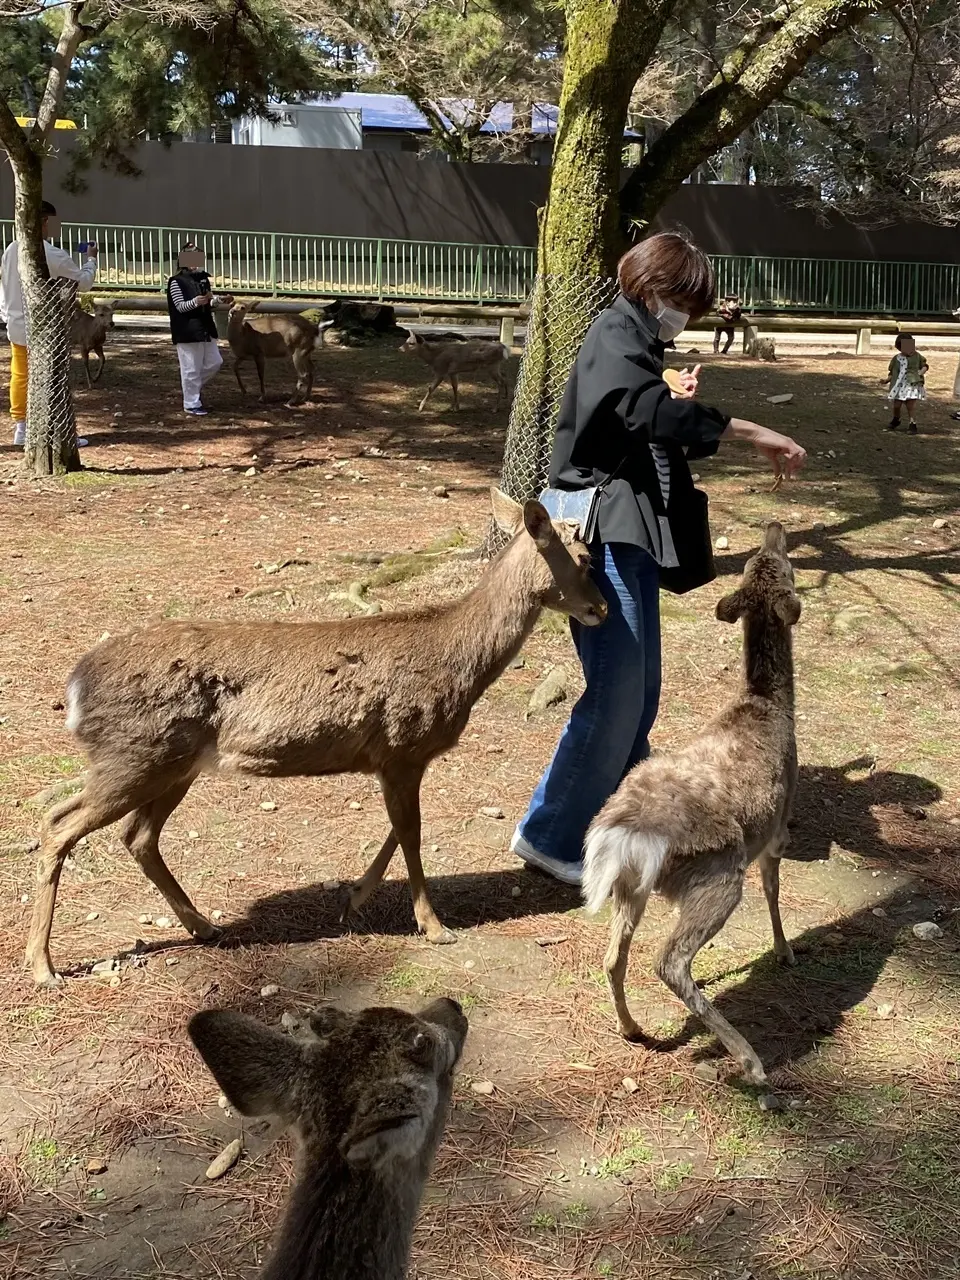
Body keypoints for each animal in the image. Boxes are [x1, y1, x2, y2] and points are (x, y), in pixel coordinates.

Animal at [25, 489, 608, 987]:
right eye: (584, 557)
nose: (602, 608)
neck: (459, 663)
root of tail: (75, 688)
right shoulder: (404, 746)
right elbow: (412, 833)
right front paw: (435, 926)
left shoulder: (390, 758)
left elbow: (398, 830)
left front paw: (356, 897)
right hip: (137, 755)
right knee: (59, 824)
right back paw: (43, 966)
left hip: (172, 763)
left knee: (136, 835)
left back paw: (204, 925)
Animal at [582, 522, 801, 1089]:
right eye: (784, 567)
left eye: (758, 561)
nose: (775, 527)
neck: (769, 706)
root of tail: (623, 834)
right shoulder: (777, 827)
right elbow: (773, 888)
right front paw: (785, 950)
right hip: (715, 875)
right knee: (669, 961)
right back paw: (749, 1061)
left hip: (630, 885)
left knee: (612, 956)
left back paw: (632, 1029)